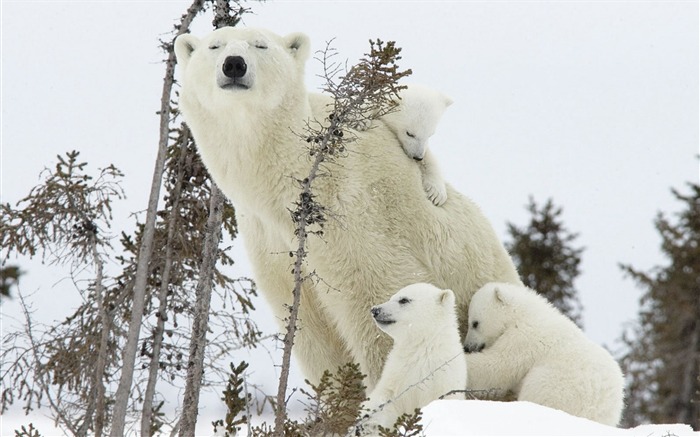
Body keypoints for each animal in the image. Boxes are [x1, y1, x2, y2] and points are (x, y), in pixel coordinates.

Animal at [175, 26, 520, 388]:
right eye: (215, 46)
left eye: (260, 45)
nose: (234, 65)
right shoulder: (270, 239)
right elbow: (312, 332)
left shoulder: (353, 215)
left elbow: (379, 302)